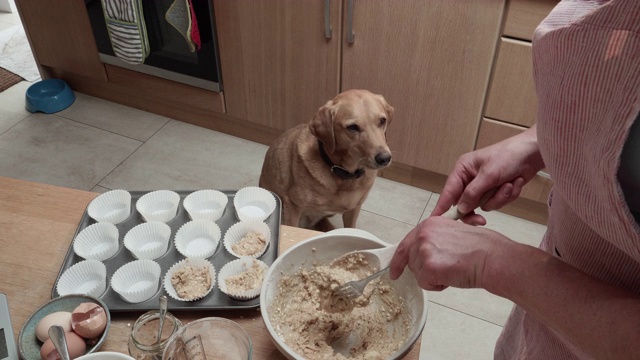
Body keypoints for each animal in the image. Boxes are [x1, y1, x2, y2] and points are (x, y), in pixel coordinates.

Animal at [258, 90, 392, 231]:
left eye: (382, 121)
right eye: (352, 127)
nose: (384, 158)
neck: (343, 174)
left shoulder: (353, 209)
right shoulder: (292, 206)